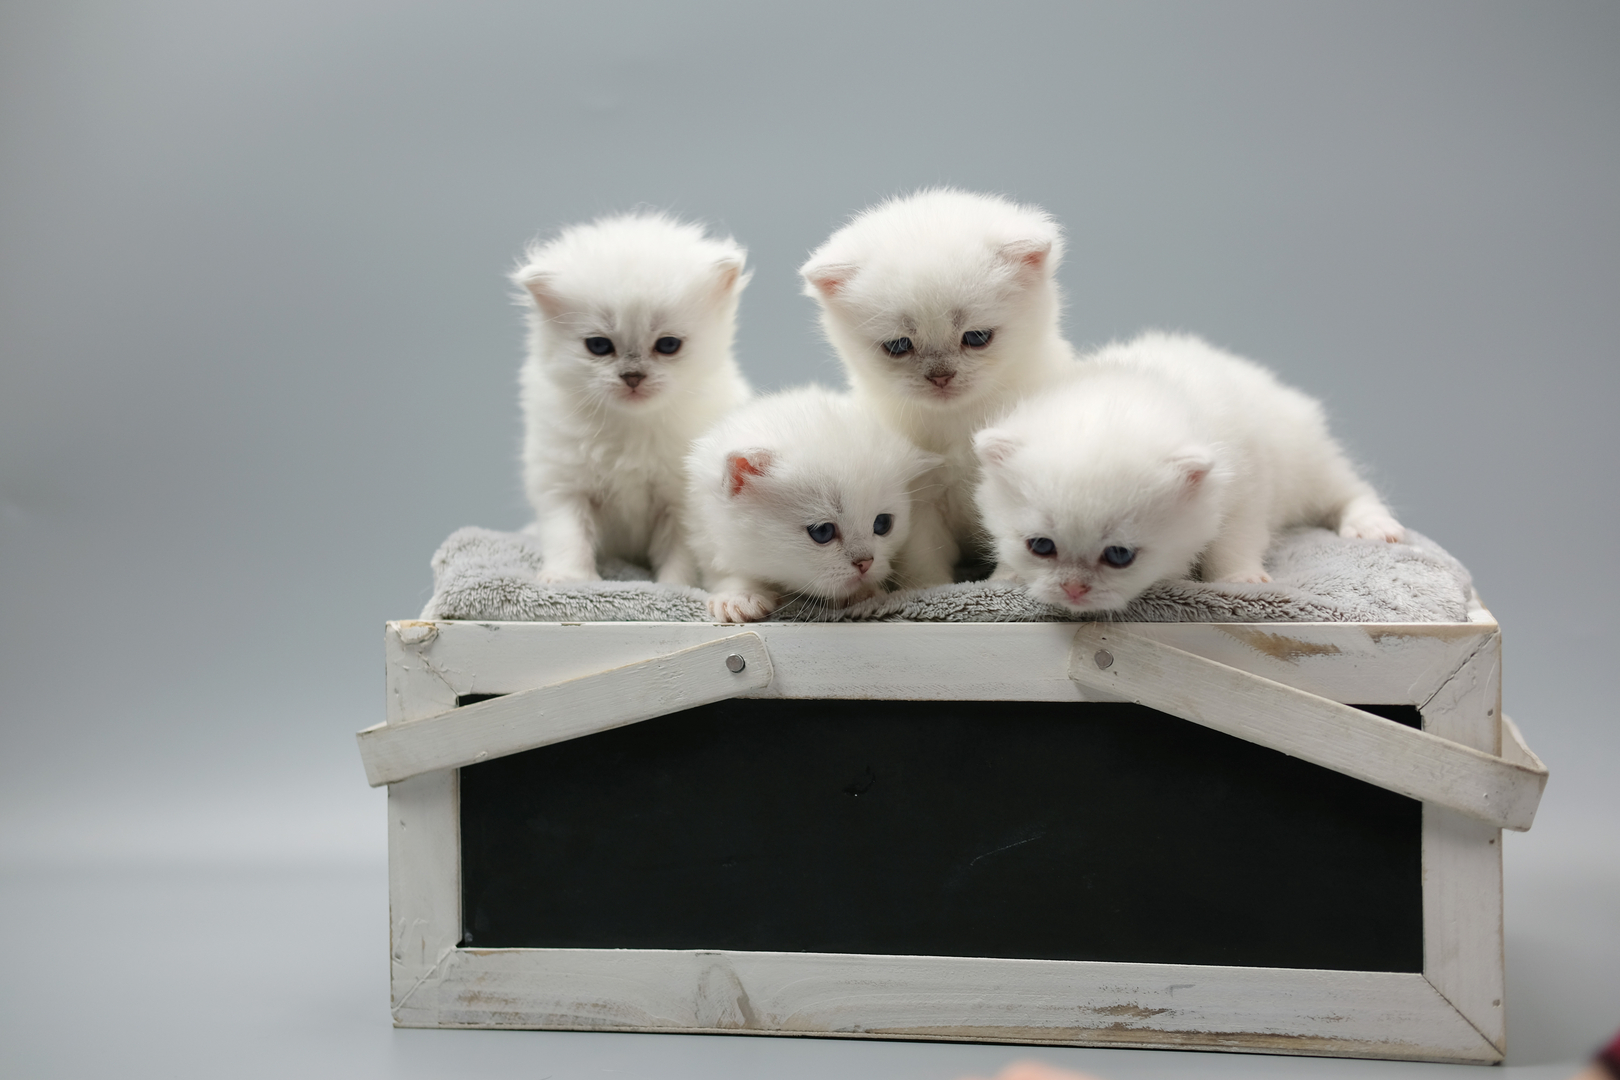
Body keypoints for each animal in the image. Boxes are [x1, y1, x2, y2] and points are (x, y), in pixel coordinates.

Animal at [511, 210, 751, 582]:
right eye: (598, 346)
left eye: (668, 345)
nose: (633, 377)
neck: (632, 425)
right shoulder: (563, 487)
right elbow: (569, 536)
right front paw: (569, 579)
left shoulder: (679, 501)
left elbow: (680, 554)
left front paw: (675, 587)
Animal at [686, 388, 946, 625]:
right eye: (823, 532)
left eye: (883, 524)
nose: (865, 564)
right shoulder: (705, 533)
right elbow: (726, 572)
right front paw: (740, 596)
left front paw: (863, 593)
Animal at [797, 190, 1075, 586]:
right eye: (898, 346)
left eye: (976, 337)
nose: (941, 377)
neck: (958, 421)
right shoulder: (917, 503)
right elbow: (925, 566)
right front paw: (930, 590)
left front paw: (1005, 582)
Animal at [972, 333, 1406, 612]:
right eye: (1041, 546)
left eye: (1119, 555)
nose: (1073, 590)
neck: (1135, 391)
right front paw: (1005, 576)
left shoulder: (1245, 484)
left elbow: (1234, 537)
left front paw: (1240, 579)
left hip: (1309, 462)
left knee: (1349, 489)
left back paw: (1371, 526)